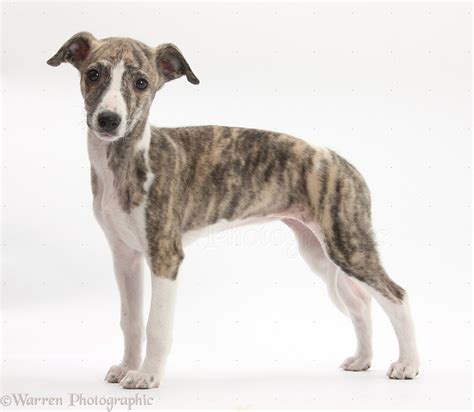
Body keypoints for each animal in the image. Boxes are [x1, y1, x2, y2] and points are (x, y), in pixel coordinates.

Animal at [47, 33, 418, 390]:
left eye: (141, 82)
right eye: (93, 74)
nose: (108, 120)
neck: (129, 159)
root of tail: (346, 166)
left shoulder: (165, 256)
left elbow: (156, 325)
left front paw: (147, 376)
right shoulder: (125, 257)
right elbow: (131, 321)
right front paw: (127, 368)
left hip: (348, 246)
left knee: (396, 296)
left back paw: (408, 365)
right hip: (320, 251)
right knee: (361, 303)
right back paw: (363, 359)